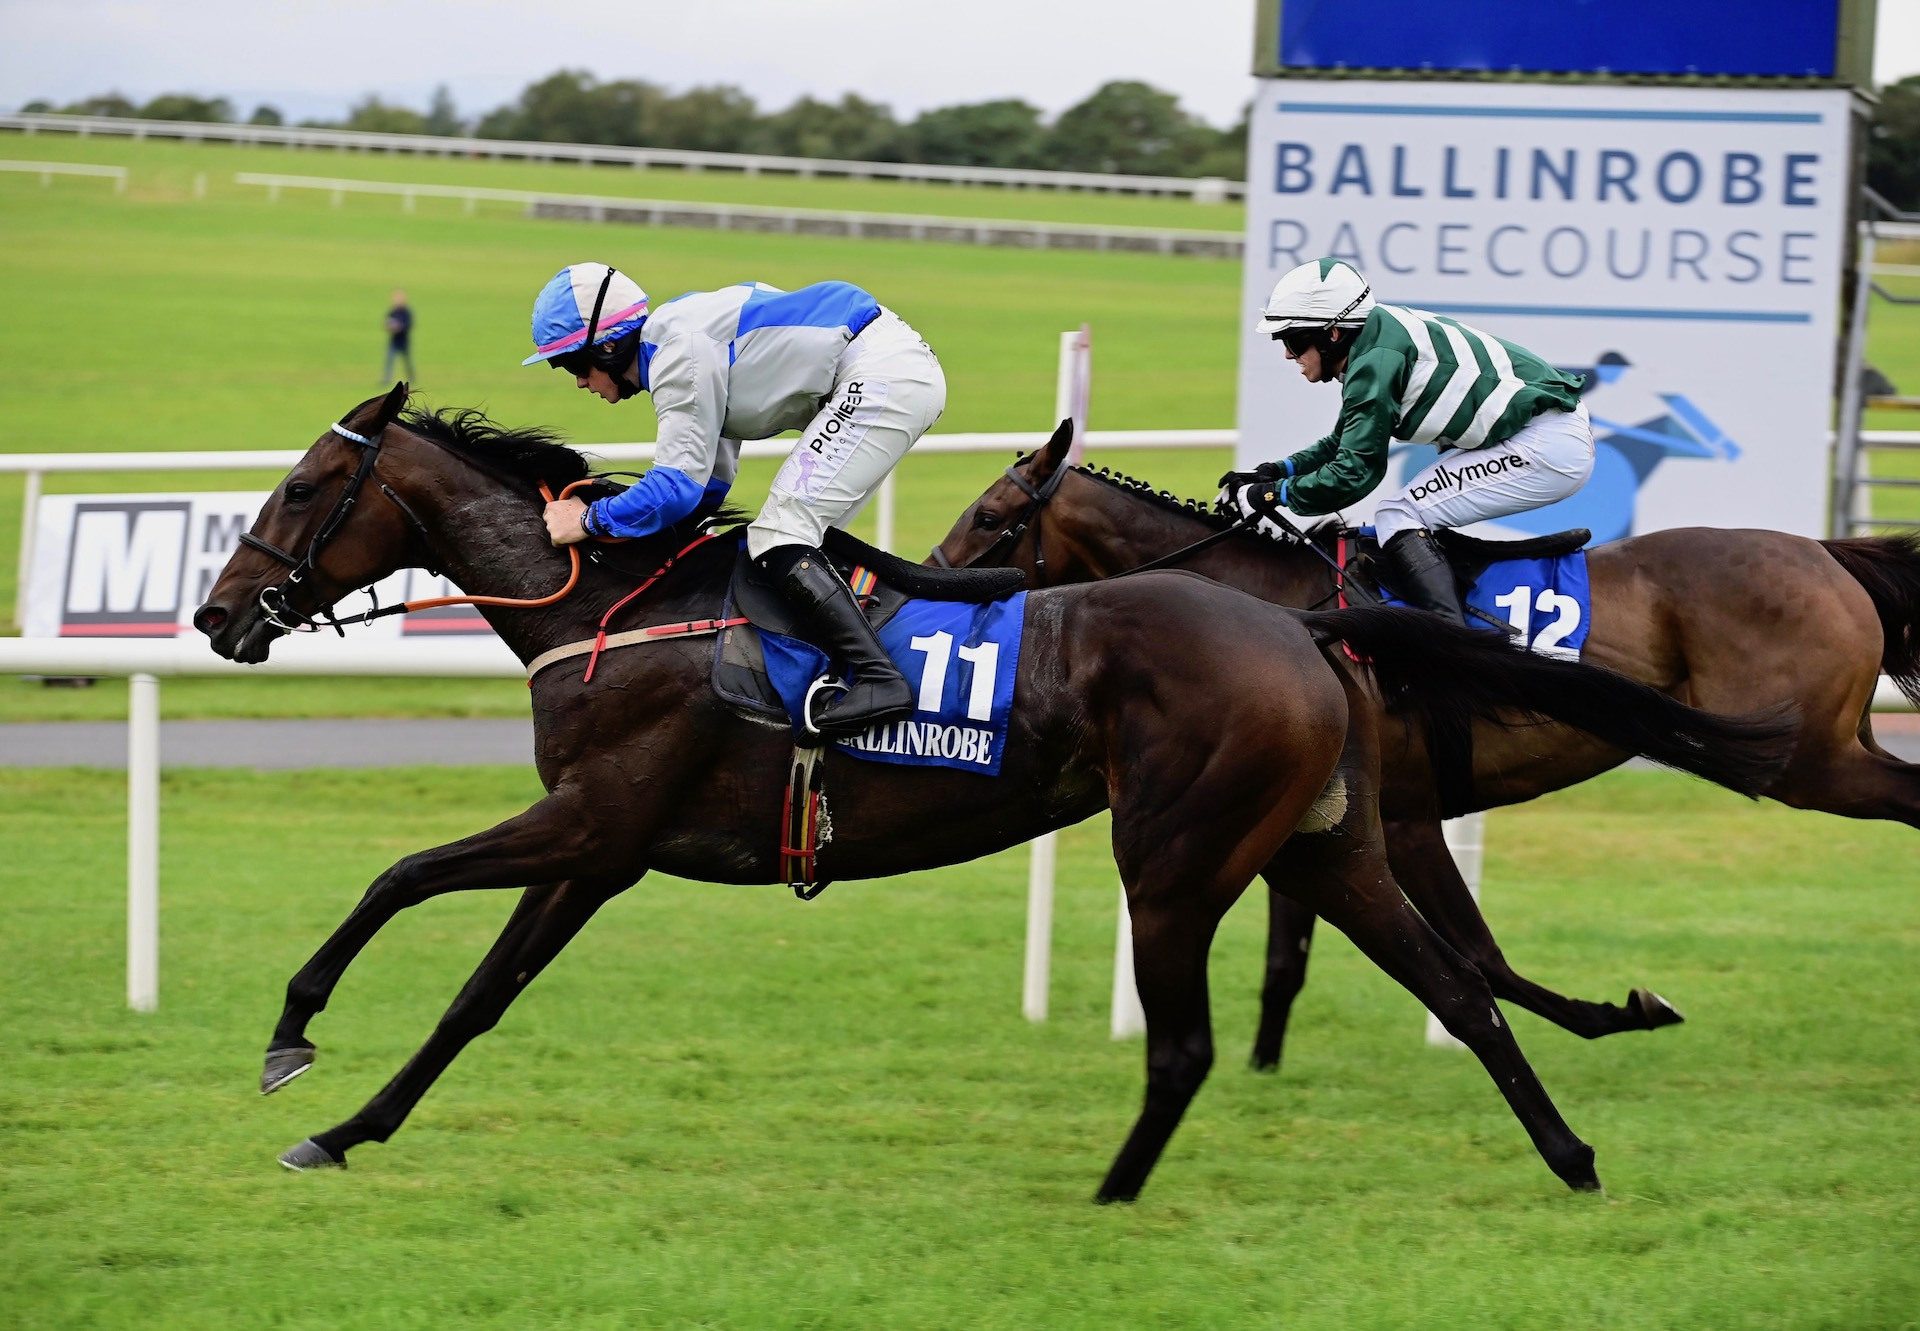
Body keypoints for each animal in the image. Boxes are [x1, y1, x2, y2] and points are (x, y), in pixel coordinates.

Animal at [198, 386, 1797, 1206]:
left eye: (299, 489)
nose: (217, 617)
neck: (613, 607)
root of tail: (1309, 630)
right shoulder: (604, 849)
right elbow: (478, 997)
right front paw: (345, 1127)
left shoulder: (594, 823)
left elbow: (396, 874)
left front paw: (289, 1033)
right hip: (1326, 842)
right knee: (1458, 987)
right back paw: (1574, 1157)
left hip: (1176, 855)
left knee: (1191, 1043)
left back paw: (1110, 1195)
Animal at [929, 426, 1920, 1067]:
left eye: (990, 513)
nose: (931, 578)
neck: (1271, 602)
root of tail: (1826, 552)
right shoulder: (1328, 811)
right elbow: (1310, 953)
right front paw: (1262, 1059)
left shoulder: (1401, 816)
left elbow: (1479, 960)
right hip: (1830, 748)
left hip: (1809, 762)